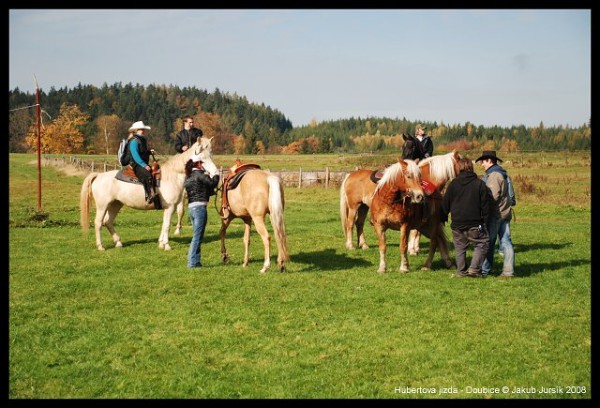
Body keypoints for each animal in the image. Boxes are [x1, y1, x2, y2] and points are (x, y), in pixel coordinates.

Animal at [79, 139, 216, 250]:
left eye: (210, 155)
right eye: (202, 159)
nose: (215, 172)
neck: (172, 175)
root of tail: (99, 175)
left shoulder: (169, 208)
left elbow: (164, 225)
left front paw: (161, 243)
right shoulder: (170, 207)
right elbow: (167, 225)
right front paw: (166, 245)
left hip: (115, 204)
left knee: (108, 221)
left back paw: (118, 243)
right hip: (102, 206)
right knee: (98, 223)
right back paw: (100, 246)